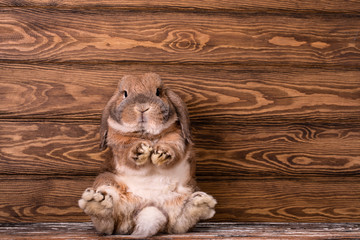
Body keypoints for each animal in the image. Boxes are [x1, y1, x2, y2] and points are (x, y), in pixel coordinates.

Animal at [78, 73, 217, 238]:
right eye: (125, 94)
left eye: (158, 92)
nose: (142, 107)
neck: (146, 135)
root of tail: (147, 207)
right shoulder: (119, 147)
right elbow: (127, 152)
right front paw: (140, 150)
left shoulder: (177, 139)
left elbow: (174, 149)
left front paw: (162, 153)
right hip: (106, 182)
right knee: (109, 224)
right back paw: (97, 203)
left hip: (187, 191)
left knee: (178, 225)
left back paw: (199, 205)